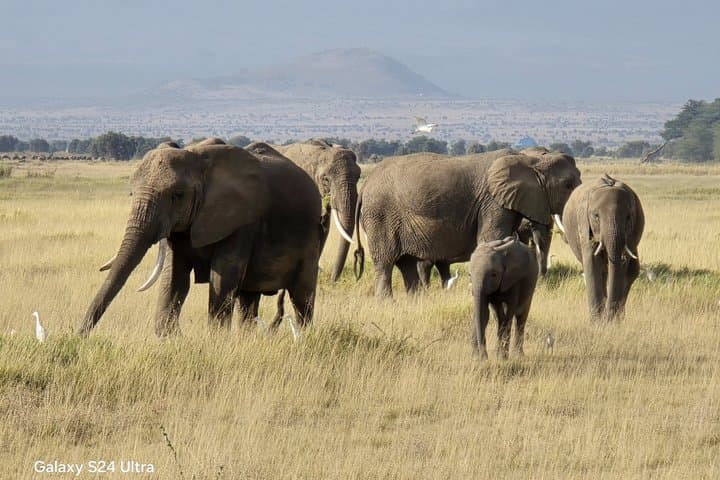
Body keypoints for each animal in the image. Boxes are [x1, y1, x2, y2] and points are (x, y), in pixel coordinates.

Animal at [79, 138, 322, 336]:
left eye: (177, 195)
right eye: (131, 193)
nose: (79, 335)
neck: (198, 159)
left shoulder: (242, 220)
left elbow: (223, 277)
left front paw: (215, 340)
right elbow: (174, 277)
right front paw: (171, 337)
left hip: (312, 238)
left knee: (302, 297)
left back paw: (305, 337)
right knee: (248, 298)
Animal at [354, 152, 581, 298]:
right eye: (568, 185)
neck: (531, 160)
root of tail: (365, 186)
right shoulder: (492, 202)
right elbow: (491, 239)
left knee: (406, 263)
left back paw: (415, 300)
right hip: (381, 215)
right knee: (385, 261)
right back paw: (386, 300)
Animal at [559, 174, 644, 321]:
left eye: (628, 217)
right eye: (596, 216)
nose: (609, 318)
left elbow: (621, 269)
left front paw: (611, 321)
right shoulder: (584, 224)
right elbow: (591, 263)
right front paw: (598, 322)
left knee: (630, 272)